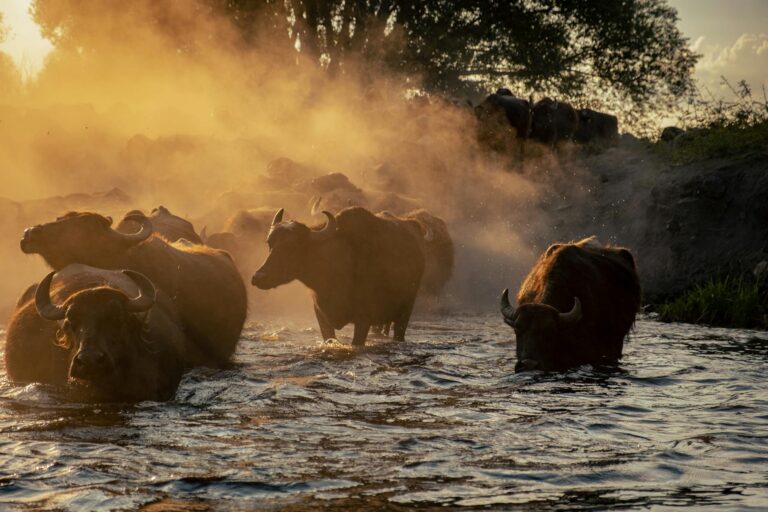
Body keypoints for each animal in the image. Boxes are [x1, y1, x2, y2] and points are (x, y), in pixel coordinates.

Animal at [251, 207, 425, 345]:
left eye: (293, 247)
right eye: (270, 243)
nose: (258, 277)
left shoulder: (363, 320)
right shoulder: (321, 316)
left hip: (405, 312)